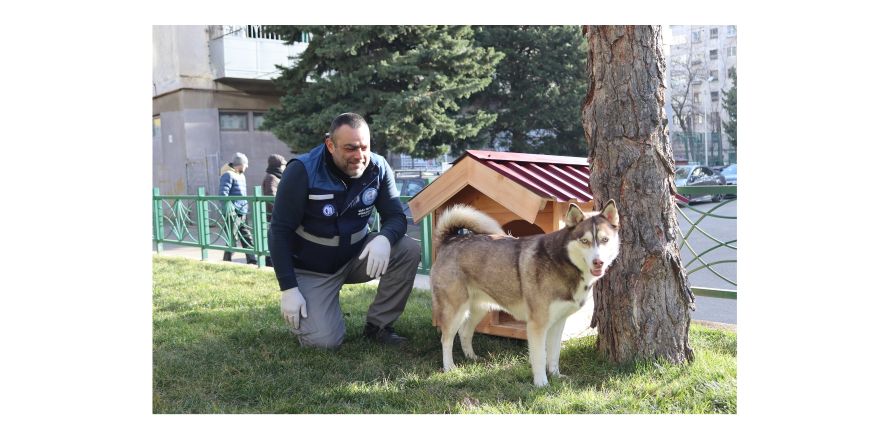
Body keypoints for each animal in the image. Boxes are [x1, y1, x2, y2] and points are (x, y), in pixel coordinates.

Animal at [434, 200, 620, 386]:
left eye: (605, 240)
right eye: (584, 241)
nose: (598, 262)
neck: (563, 262)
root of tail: (450, 239)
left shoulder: (558, 322)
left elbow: (554, 353)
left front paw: (555, 375)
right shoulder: (537, 325)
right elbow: (540, 357)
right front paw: (542, 383)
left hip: (480, 308)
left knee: (464, 332)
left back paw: (471, 357)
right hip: (455, 309)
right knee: (446, 338)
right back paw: (449, 367)